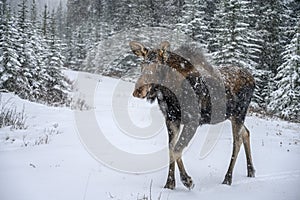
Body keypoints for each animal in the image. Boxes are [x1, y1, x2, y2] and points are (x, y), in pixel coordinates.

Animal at [129, 40, 255, 189]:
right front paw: (169, 184)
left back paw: (228, 178)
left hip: (239, 114)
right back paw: (251, 171)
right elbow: (171, 148)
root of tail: (252, 79)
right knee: (246, 132)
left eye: (158, 65)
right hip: (231, 115)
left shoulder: (193, 120)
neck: (169, 93)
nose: (138, 90)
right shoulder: (171, 119)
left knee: (237, 141)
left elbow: (177, 148)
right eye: (142, 64)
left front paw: (187, 180)